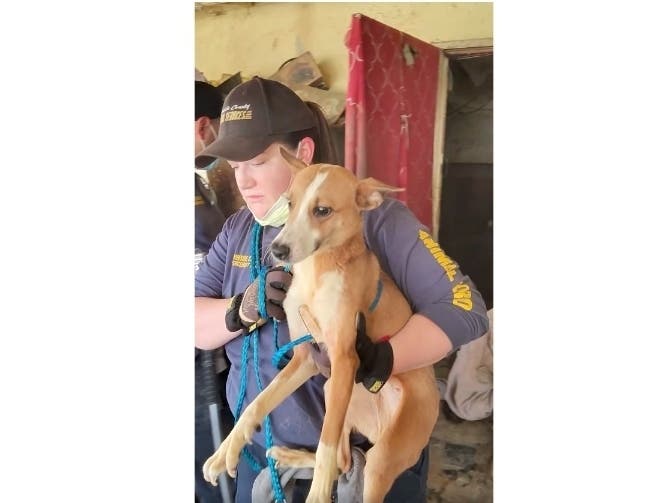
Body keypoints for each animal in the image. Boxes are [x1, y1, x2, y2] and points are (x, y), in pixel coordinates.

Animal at [202, 153, 438, 503]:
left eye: (322, 210)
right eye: (289, 203)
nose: (278, 250)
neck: (317, 269)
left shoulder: (344, 358)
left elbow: (325, 441)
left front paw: (317, 494)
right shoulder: (307, 358)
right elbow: (257, 404)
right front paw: (227, 449)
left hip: (381, 455)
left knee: (350, 462)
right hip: (334, 391)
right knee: (344, 461)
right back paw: (291, 456)